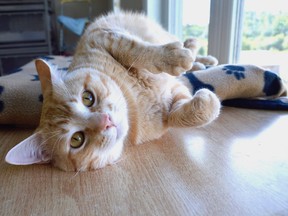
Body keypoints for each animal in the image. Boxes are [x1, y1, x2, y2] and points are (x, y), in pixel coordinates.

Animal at [5, 11, 220, 171]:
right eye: (76, 140)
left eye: (87, 98)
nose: (106, 121)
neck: (137, 102)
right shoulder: (170, 101)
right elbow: (183, 114)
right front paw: (206, 100)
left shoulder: (102, 36)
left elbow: (138, 50)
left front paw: (174, 57)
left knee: (185, 49)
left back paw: (197, 53)